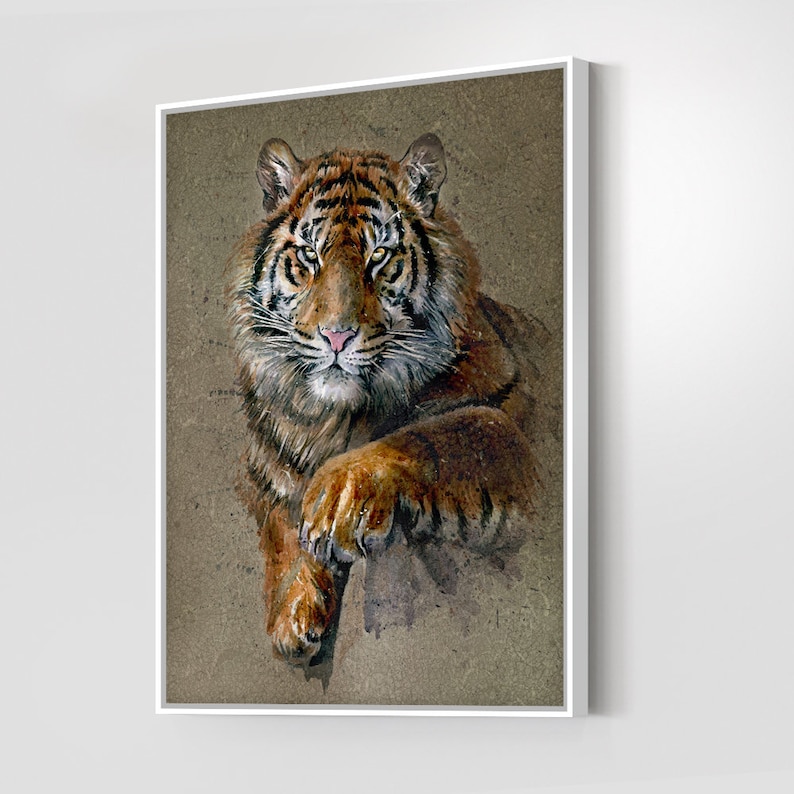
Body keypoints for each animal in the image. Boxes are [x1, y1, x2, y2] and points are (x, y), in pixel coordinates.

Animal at [225, 133, 551, 667]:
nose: (336, 336)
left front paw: (337, 498)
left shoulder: (509, 426)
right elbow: (280, 525)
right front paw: (293, 614)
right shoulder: (268, 471)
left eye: (379, 256)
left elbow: (435, 434)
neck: (336, 419)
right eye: (309, 256)